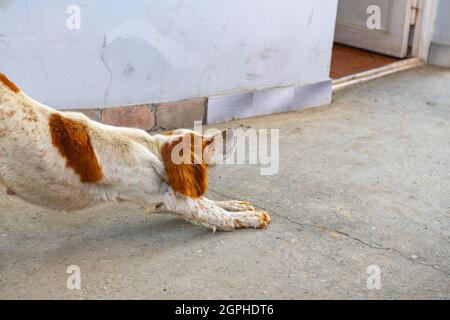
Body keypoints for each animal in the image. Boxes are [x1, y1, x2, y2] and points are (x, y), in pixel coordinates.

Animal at [0, 74, 268, 231]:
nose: (229, 131)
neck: (152, 150)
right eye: (206, 141)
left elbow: (207, 203)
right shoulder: (161, 198)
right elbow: (212, 212)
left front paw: (237, 205)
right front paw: (250, 219)